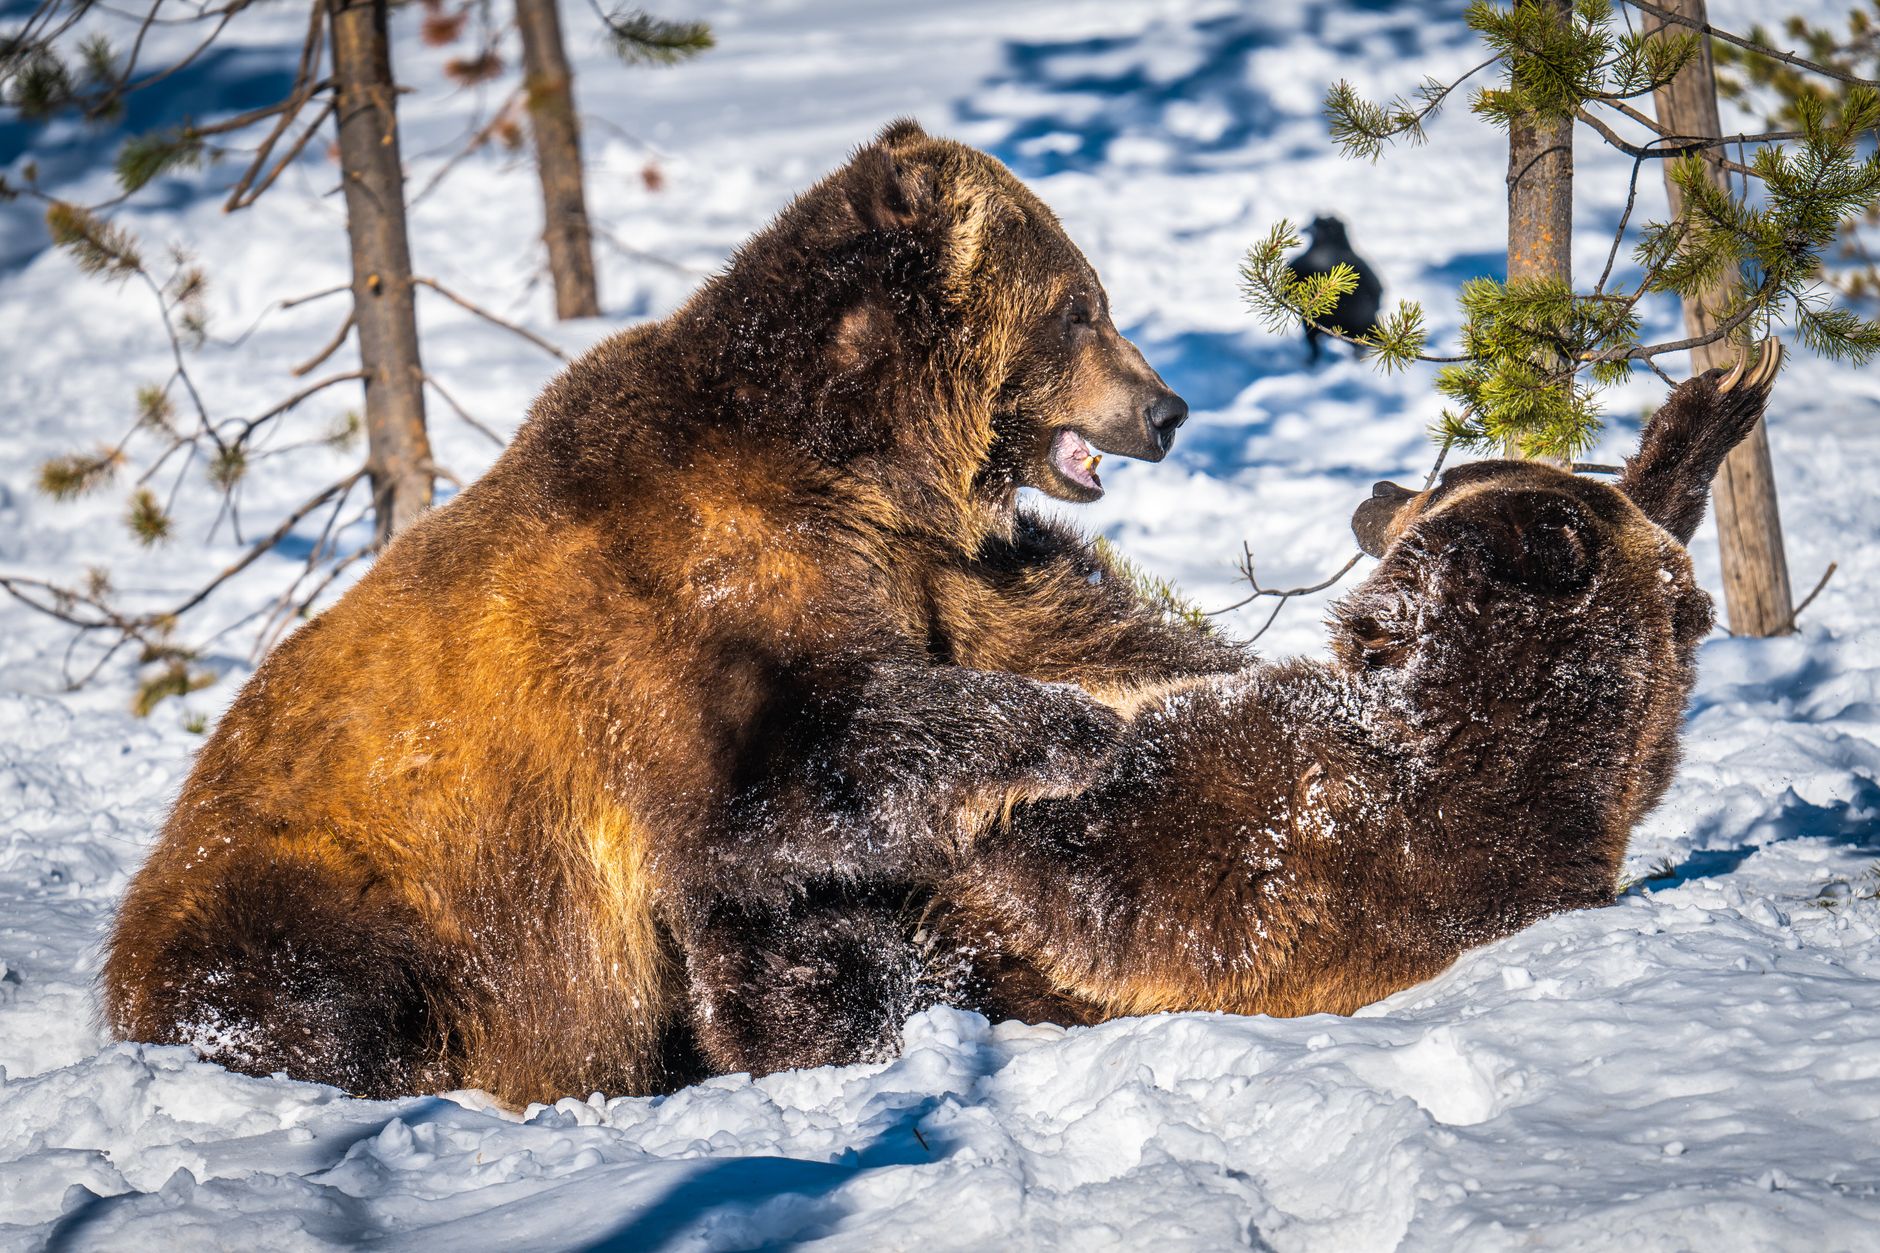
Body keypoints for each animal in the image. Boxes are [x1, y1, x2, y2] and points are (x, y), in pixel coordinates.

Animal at [100, 120, 1248, 1106]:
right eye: (1080, 306)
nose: (1168, 408)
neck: (858, 464)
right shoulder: (684, 605)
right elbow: (783, 766)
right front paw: (1076, 732)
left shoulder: (935, 567)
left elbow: (1088, 627)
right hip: (327, 876)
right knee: (311, 984)